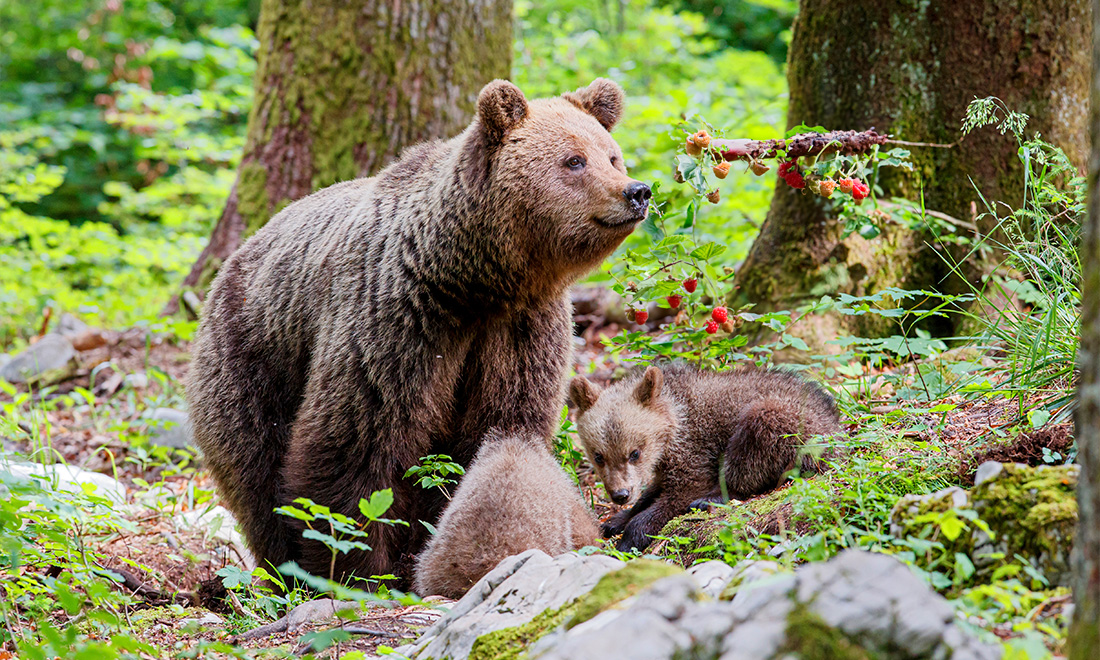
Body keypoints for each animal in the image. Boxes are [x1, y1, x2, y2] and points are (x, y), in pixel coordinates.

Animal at [185, 78, 646, 589]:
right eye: (574, 160)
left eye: (612, 156)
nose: (636, 191)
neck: (473, 280)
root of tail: (232, 263)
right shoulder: (398, 319)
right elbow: (355, 445)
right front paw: (357, 570)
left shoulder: (519, 329)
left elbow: (497, 428)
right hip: (252, 356)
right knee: (256, 471)